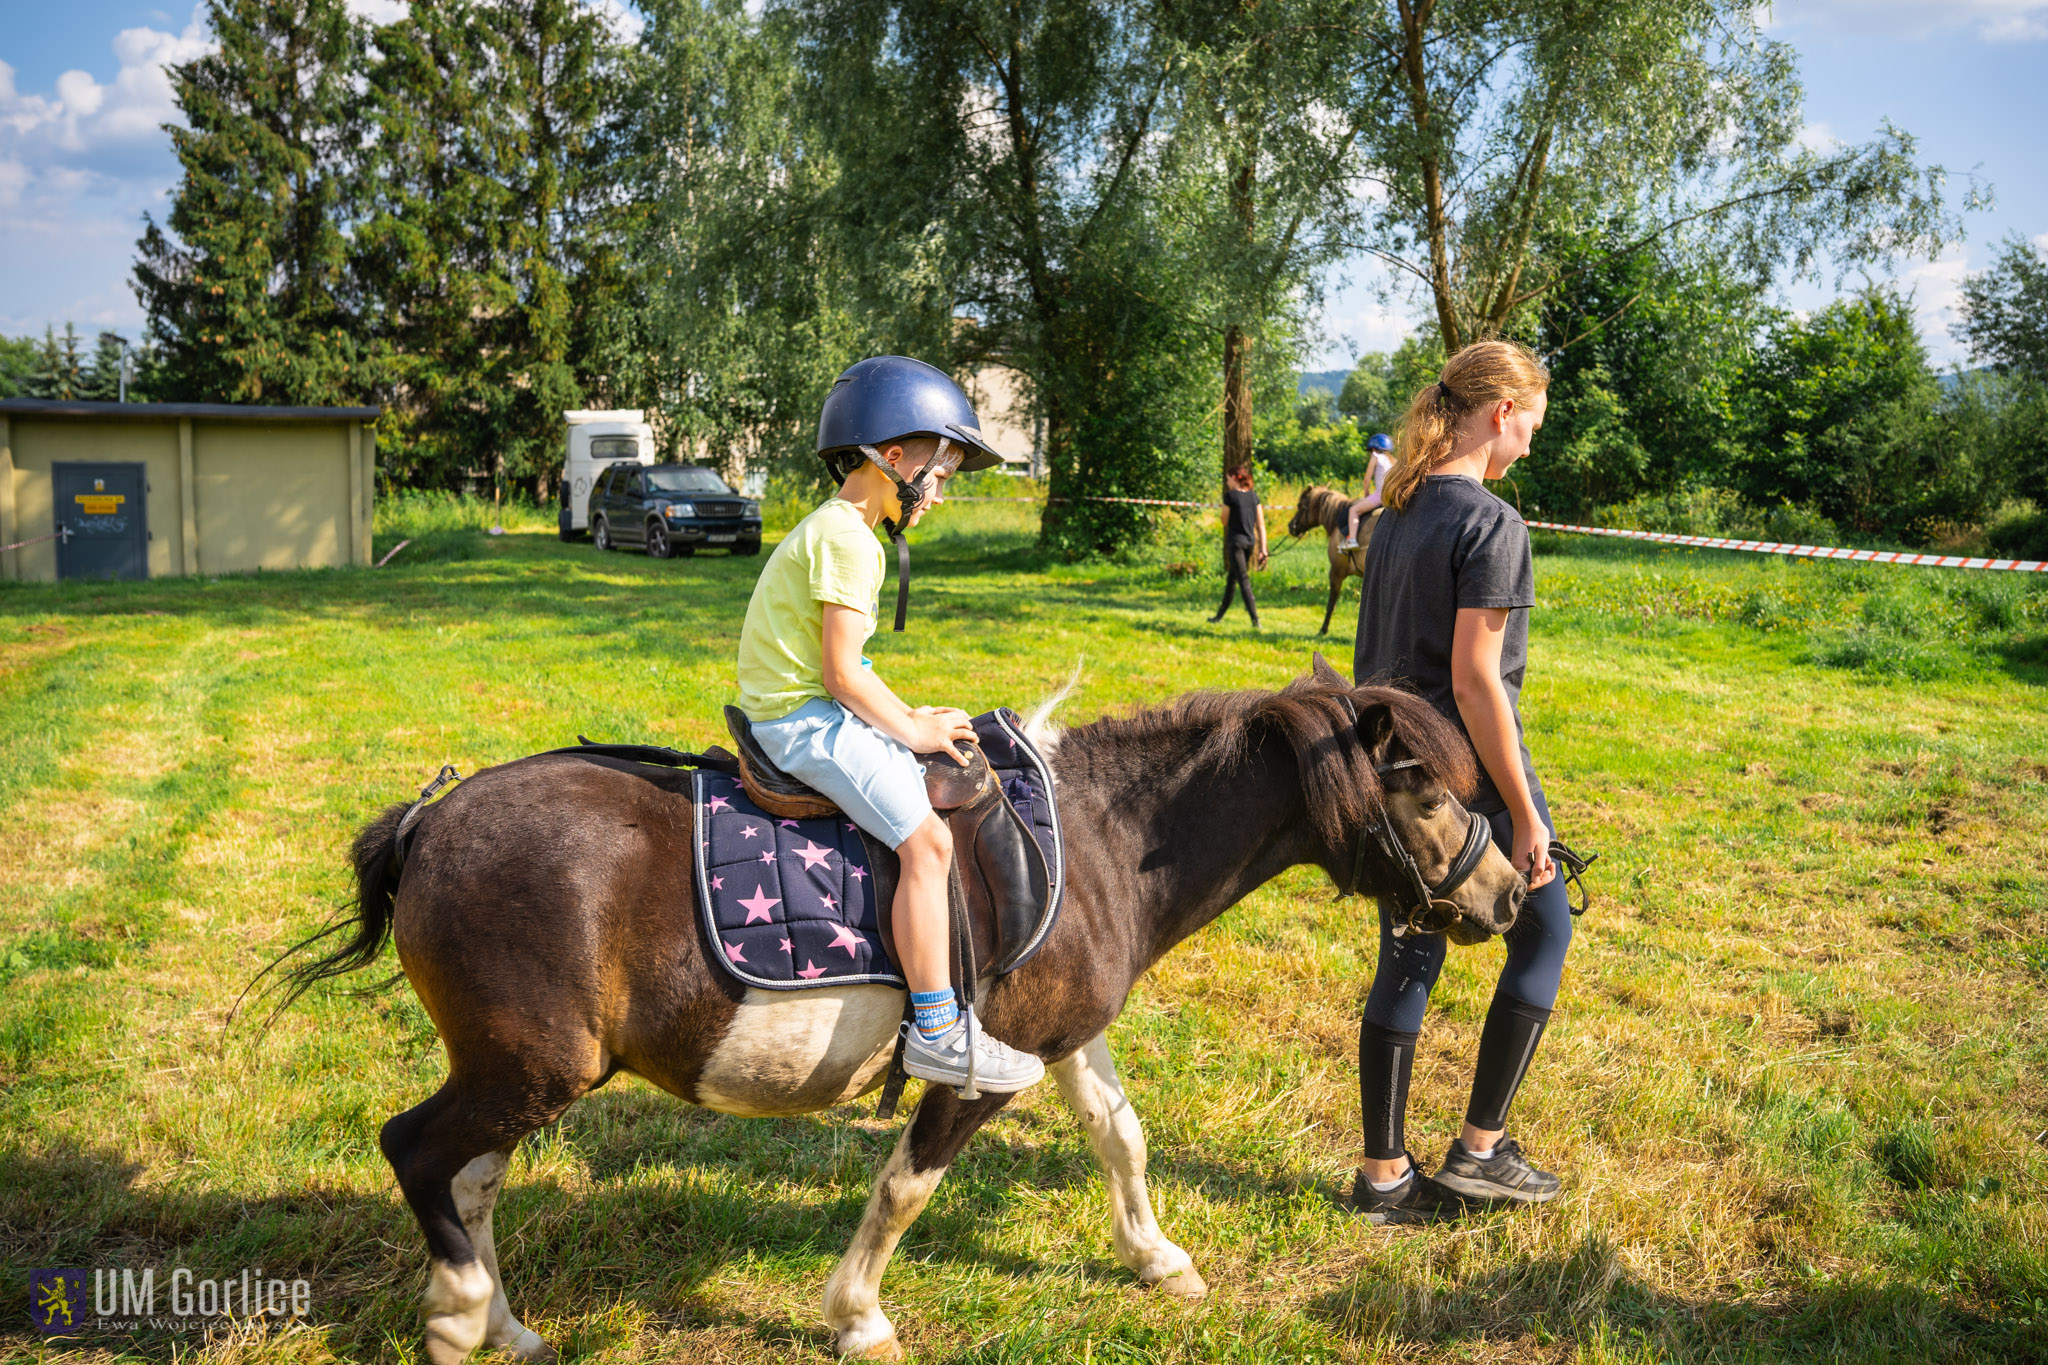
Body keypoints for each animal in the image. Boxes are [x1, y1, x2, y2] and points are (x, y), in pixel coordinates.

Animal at [280, 658, 1515, 1358]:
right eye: (1420, 787)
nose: (1513, 890)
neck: (1101, 839)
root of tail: (430, 820)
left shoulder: (1067, 1038)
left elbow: (1120, 1137)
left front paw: (1157, 1258)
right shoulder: (981, 1067)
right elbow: (907, 1186)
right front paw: (857, 1316)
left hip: (514, 1073)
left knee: (470, 1179)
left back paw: (501, 1320)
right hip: (530, 1068)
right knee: (417, 1153)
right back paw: (456, 1317)